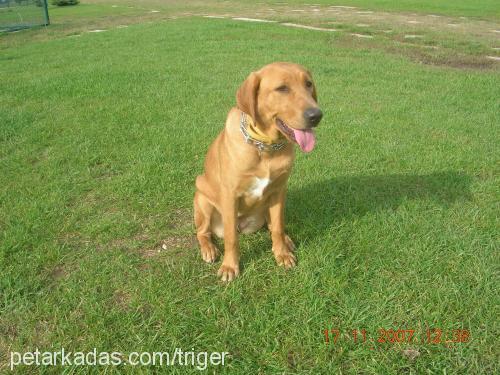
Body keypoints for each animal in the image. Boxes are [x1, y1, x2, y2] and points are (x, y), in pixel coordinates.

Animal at [193, 63, 322, 282]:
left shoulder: (279, 190)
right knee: (202, 232)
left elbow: (277, 227)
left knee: (272, 226)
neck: (265, 147)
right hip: (202, 198)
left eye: (308, 84)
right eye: (282, 88)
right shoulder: (230, 195)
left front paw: (281, 254)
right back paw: (209, 249)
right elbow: (231, 238)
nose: (316, 115)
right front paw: (230, 266)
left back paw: (286, 240)